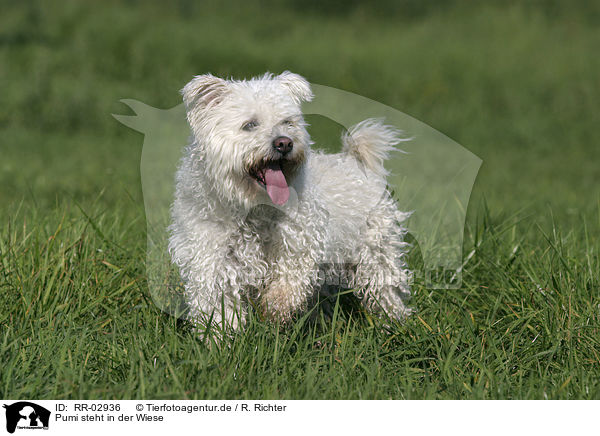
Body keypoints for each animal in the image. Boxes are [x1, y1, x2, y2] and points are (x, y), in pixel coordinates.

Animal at [169, 71, 412, 330]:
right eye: (250, 125)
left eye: (287, 122)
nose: (284, 142)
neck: (253, 208)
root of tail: (355, 163)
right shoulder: (210, 259)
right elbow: (218, 307)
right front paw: (222, 337)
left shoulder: (302, 241)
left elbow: (289, 279)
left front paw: (276, 307)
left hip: (376, 251)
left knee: (384, 288)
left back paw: (394, 322)